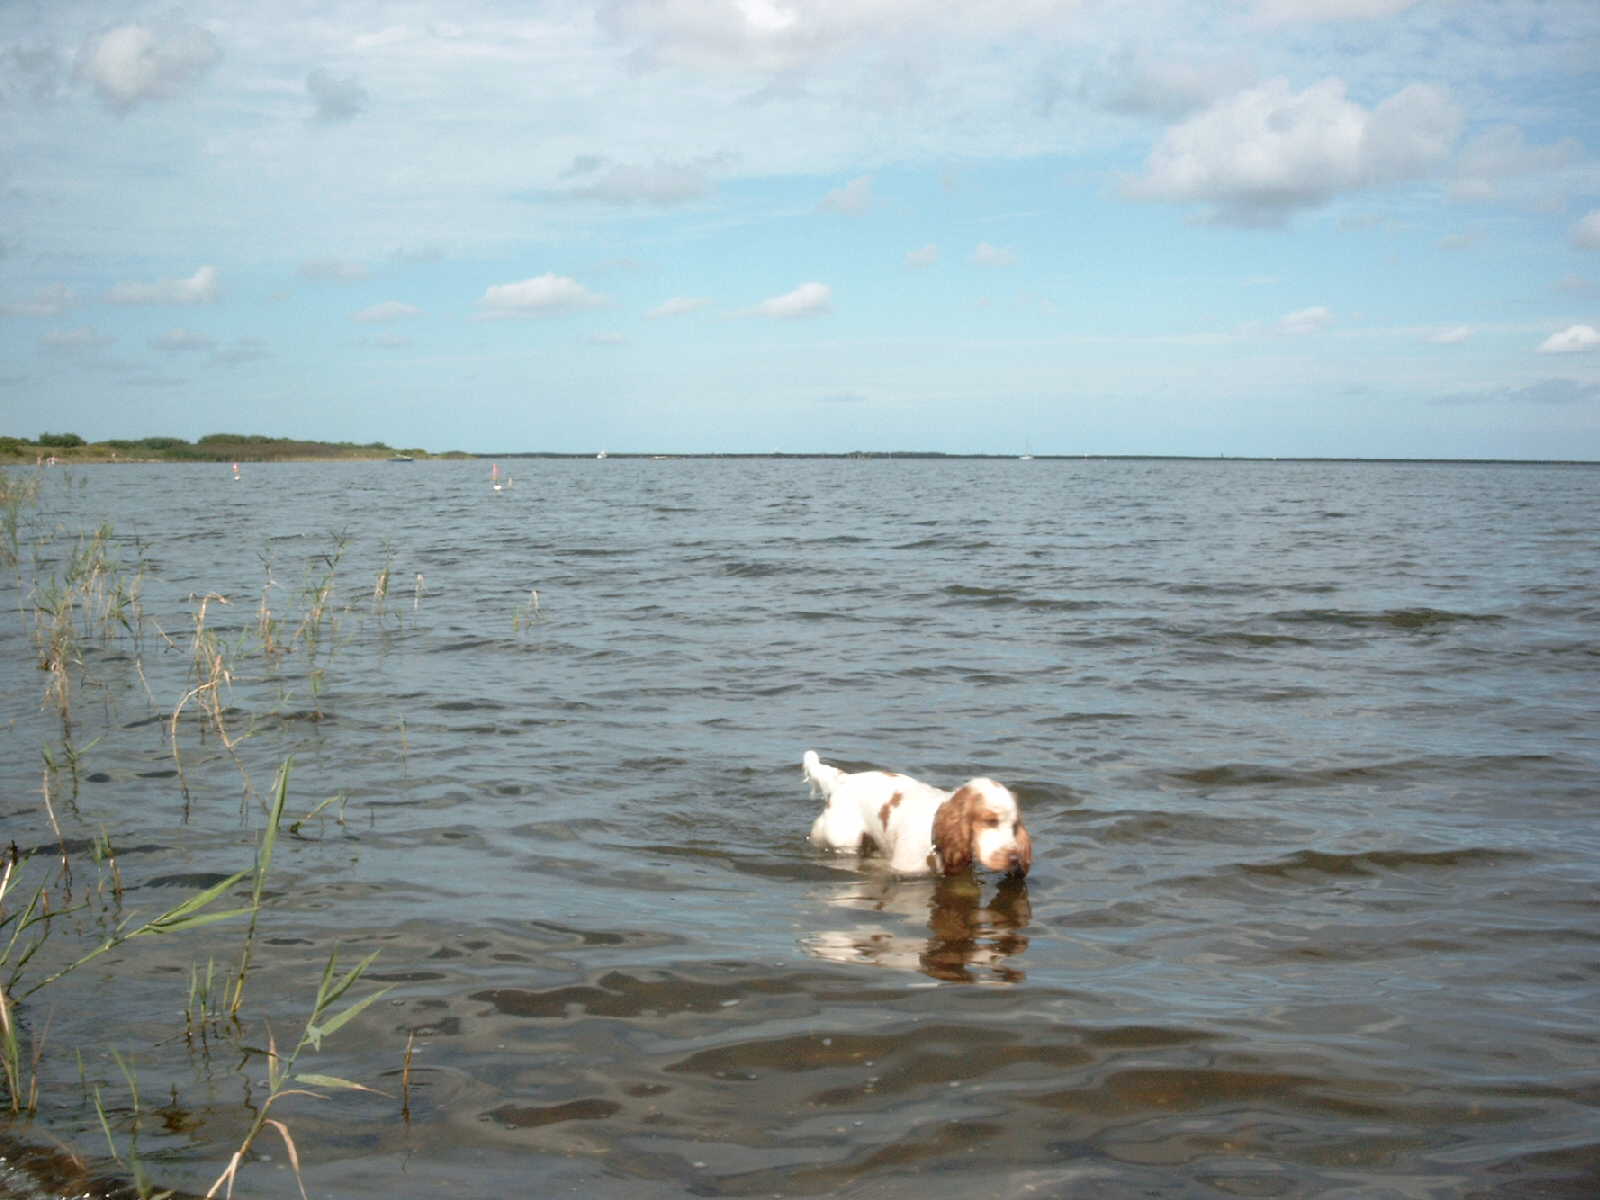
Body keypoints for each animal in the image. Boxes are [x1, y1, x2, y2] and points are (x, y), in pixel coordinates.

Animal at [803, 750, 1032, 877]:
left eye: (1014, 826)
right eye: (990, 821)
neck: (936, 836)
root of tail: (843, 779)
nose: (1014, 859)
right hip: (844, 841)